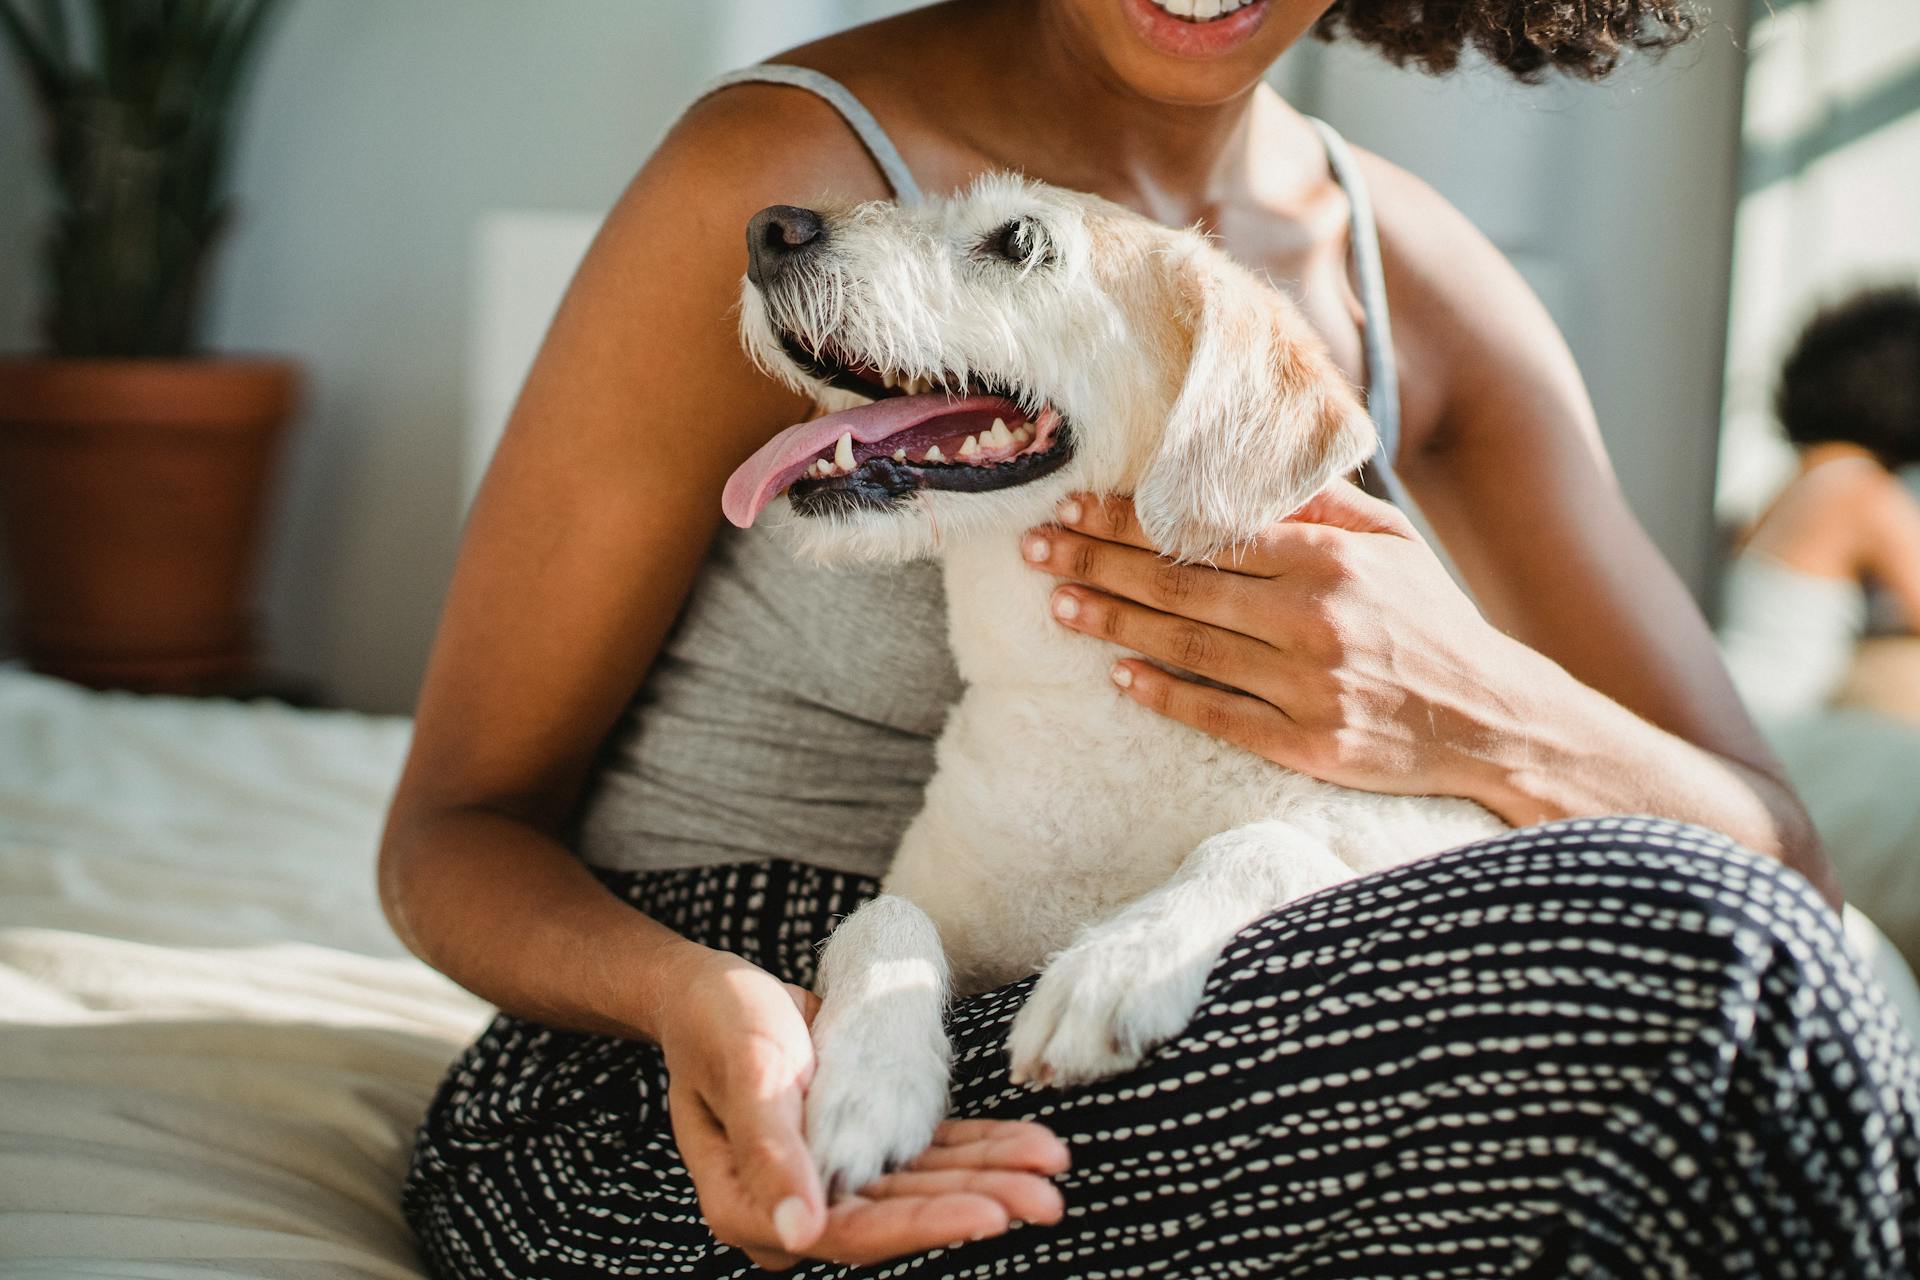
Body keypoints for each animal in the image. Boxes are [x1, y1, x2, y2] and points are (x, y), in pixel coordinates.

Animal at [721, 177, 1497, 1205]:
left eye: (1019, 241)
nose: (771, 228)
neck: (1088, 706)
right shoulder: (934, 897)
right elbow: (880, 919)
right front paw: (868, 1084)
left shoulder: (1429, 826)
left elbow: (1267, 841)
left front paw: (1118, 962)